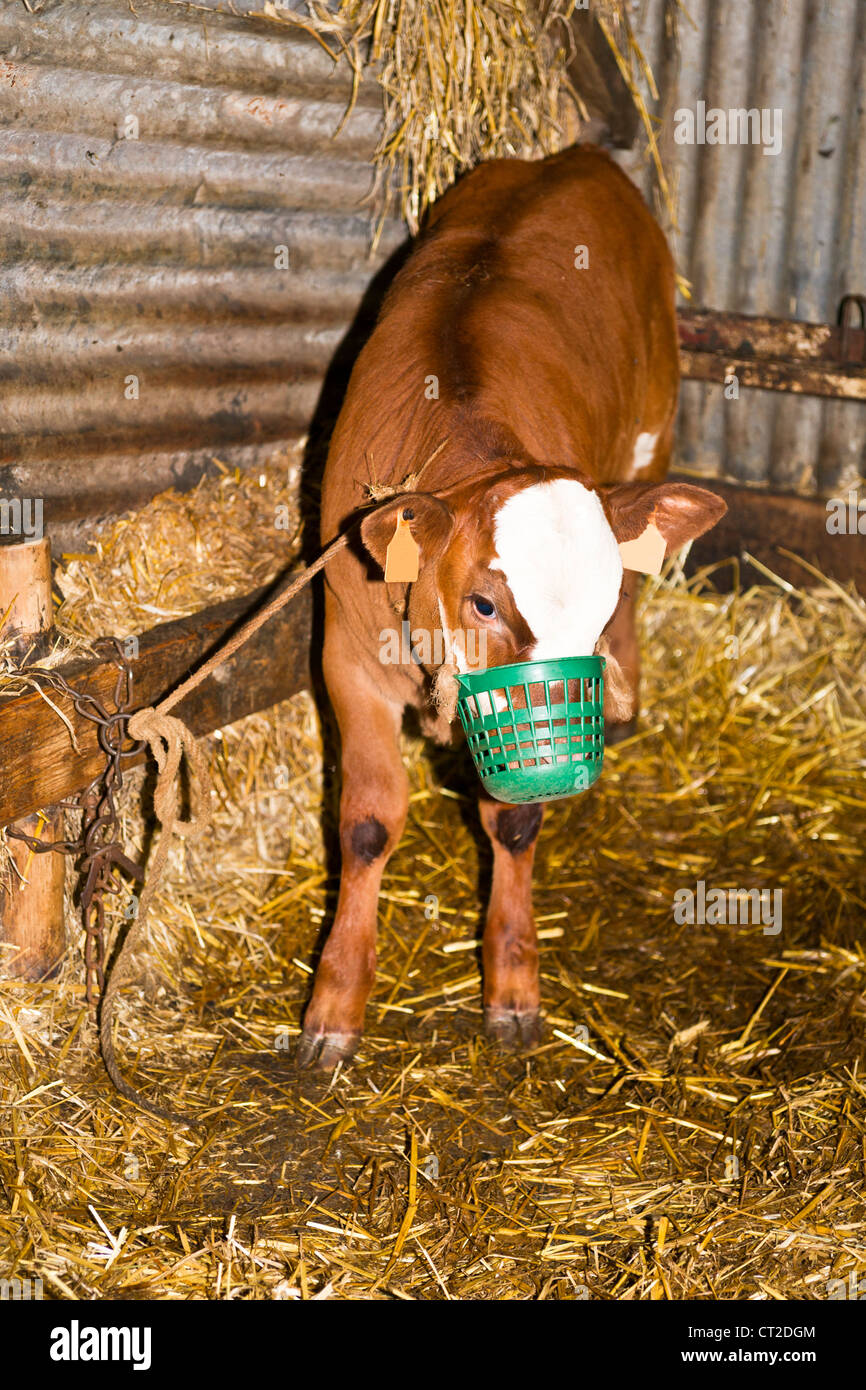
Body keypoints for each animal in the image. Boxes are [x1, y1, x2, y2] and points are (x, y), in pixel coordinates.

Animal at [298, 145, 726, 1067]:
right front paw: (334, 1005)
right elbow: (367, 823)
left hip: (653, 432)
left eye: (594, 601)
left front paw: (514, 987)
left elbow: (516, 824)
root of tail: (577, 156)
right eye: (485, 604)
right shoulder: (345, 658)